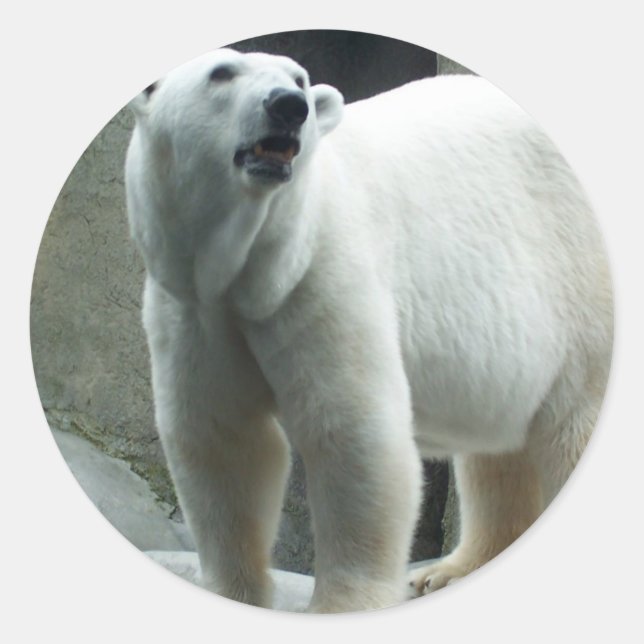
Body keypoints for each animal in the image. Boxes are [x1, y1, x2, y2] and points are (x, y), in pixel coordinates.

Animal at [125, 48, 612, 613]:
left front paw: (340, 605)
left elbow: (352, 433)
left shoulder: (323, 271)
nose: (288, 107)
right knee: (499, 448)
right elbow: (221, 438)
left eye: (299, 79)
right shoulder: (195, 307)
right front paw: (234, 592)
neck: (253, 267)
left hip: (580, 285)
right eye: (221, 73)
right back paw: (452, 570)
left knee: (571, 424)